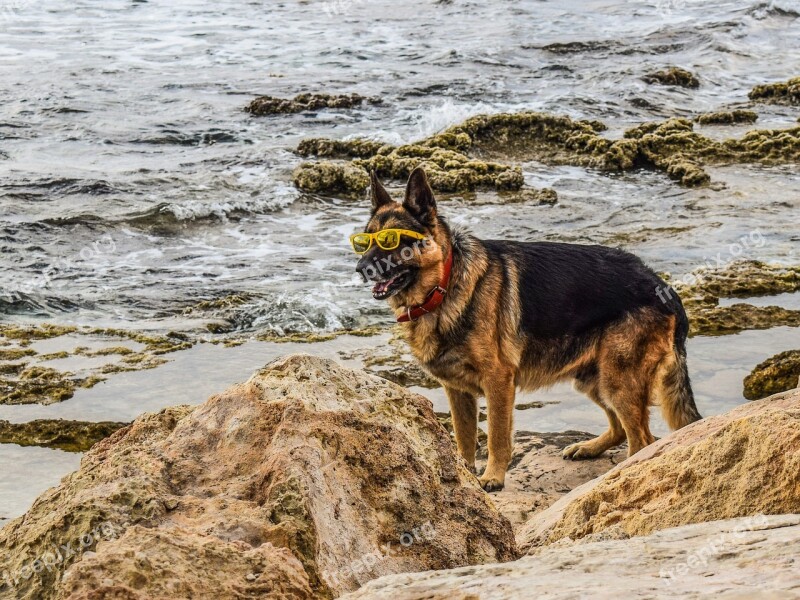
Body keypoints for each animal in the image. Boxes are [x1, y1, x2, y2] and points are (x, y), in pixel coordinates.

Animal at [354, 166, 700, 490]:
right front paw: (464, 474)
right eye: (364, 241)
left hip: (618, 380)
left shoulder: (498, 382)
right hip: (594, 378)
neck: (444, 285)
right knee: (620, 430)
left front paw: (492, 477)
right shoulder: (457, 391)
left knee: (642, 441)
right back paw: (590, 449)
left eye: (391, 241)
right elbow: (464, 438)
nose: (360, 269)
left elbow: (497, 436)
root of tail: (663, 286)